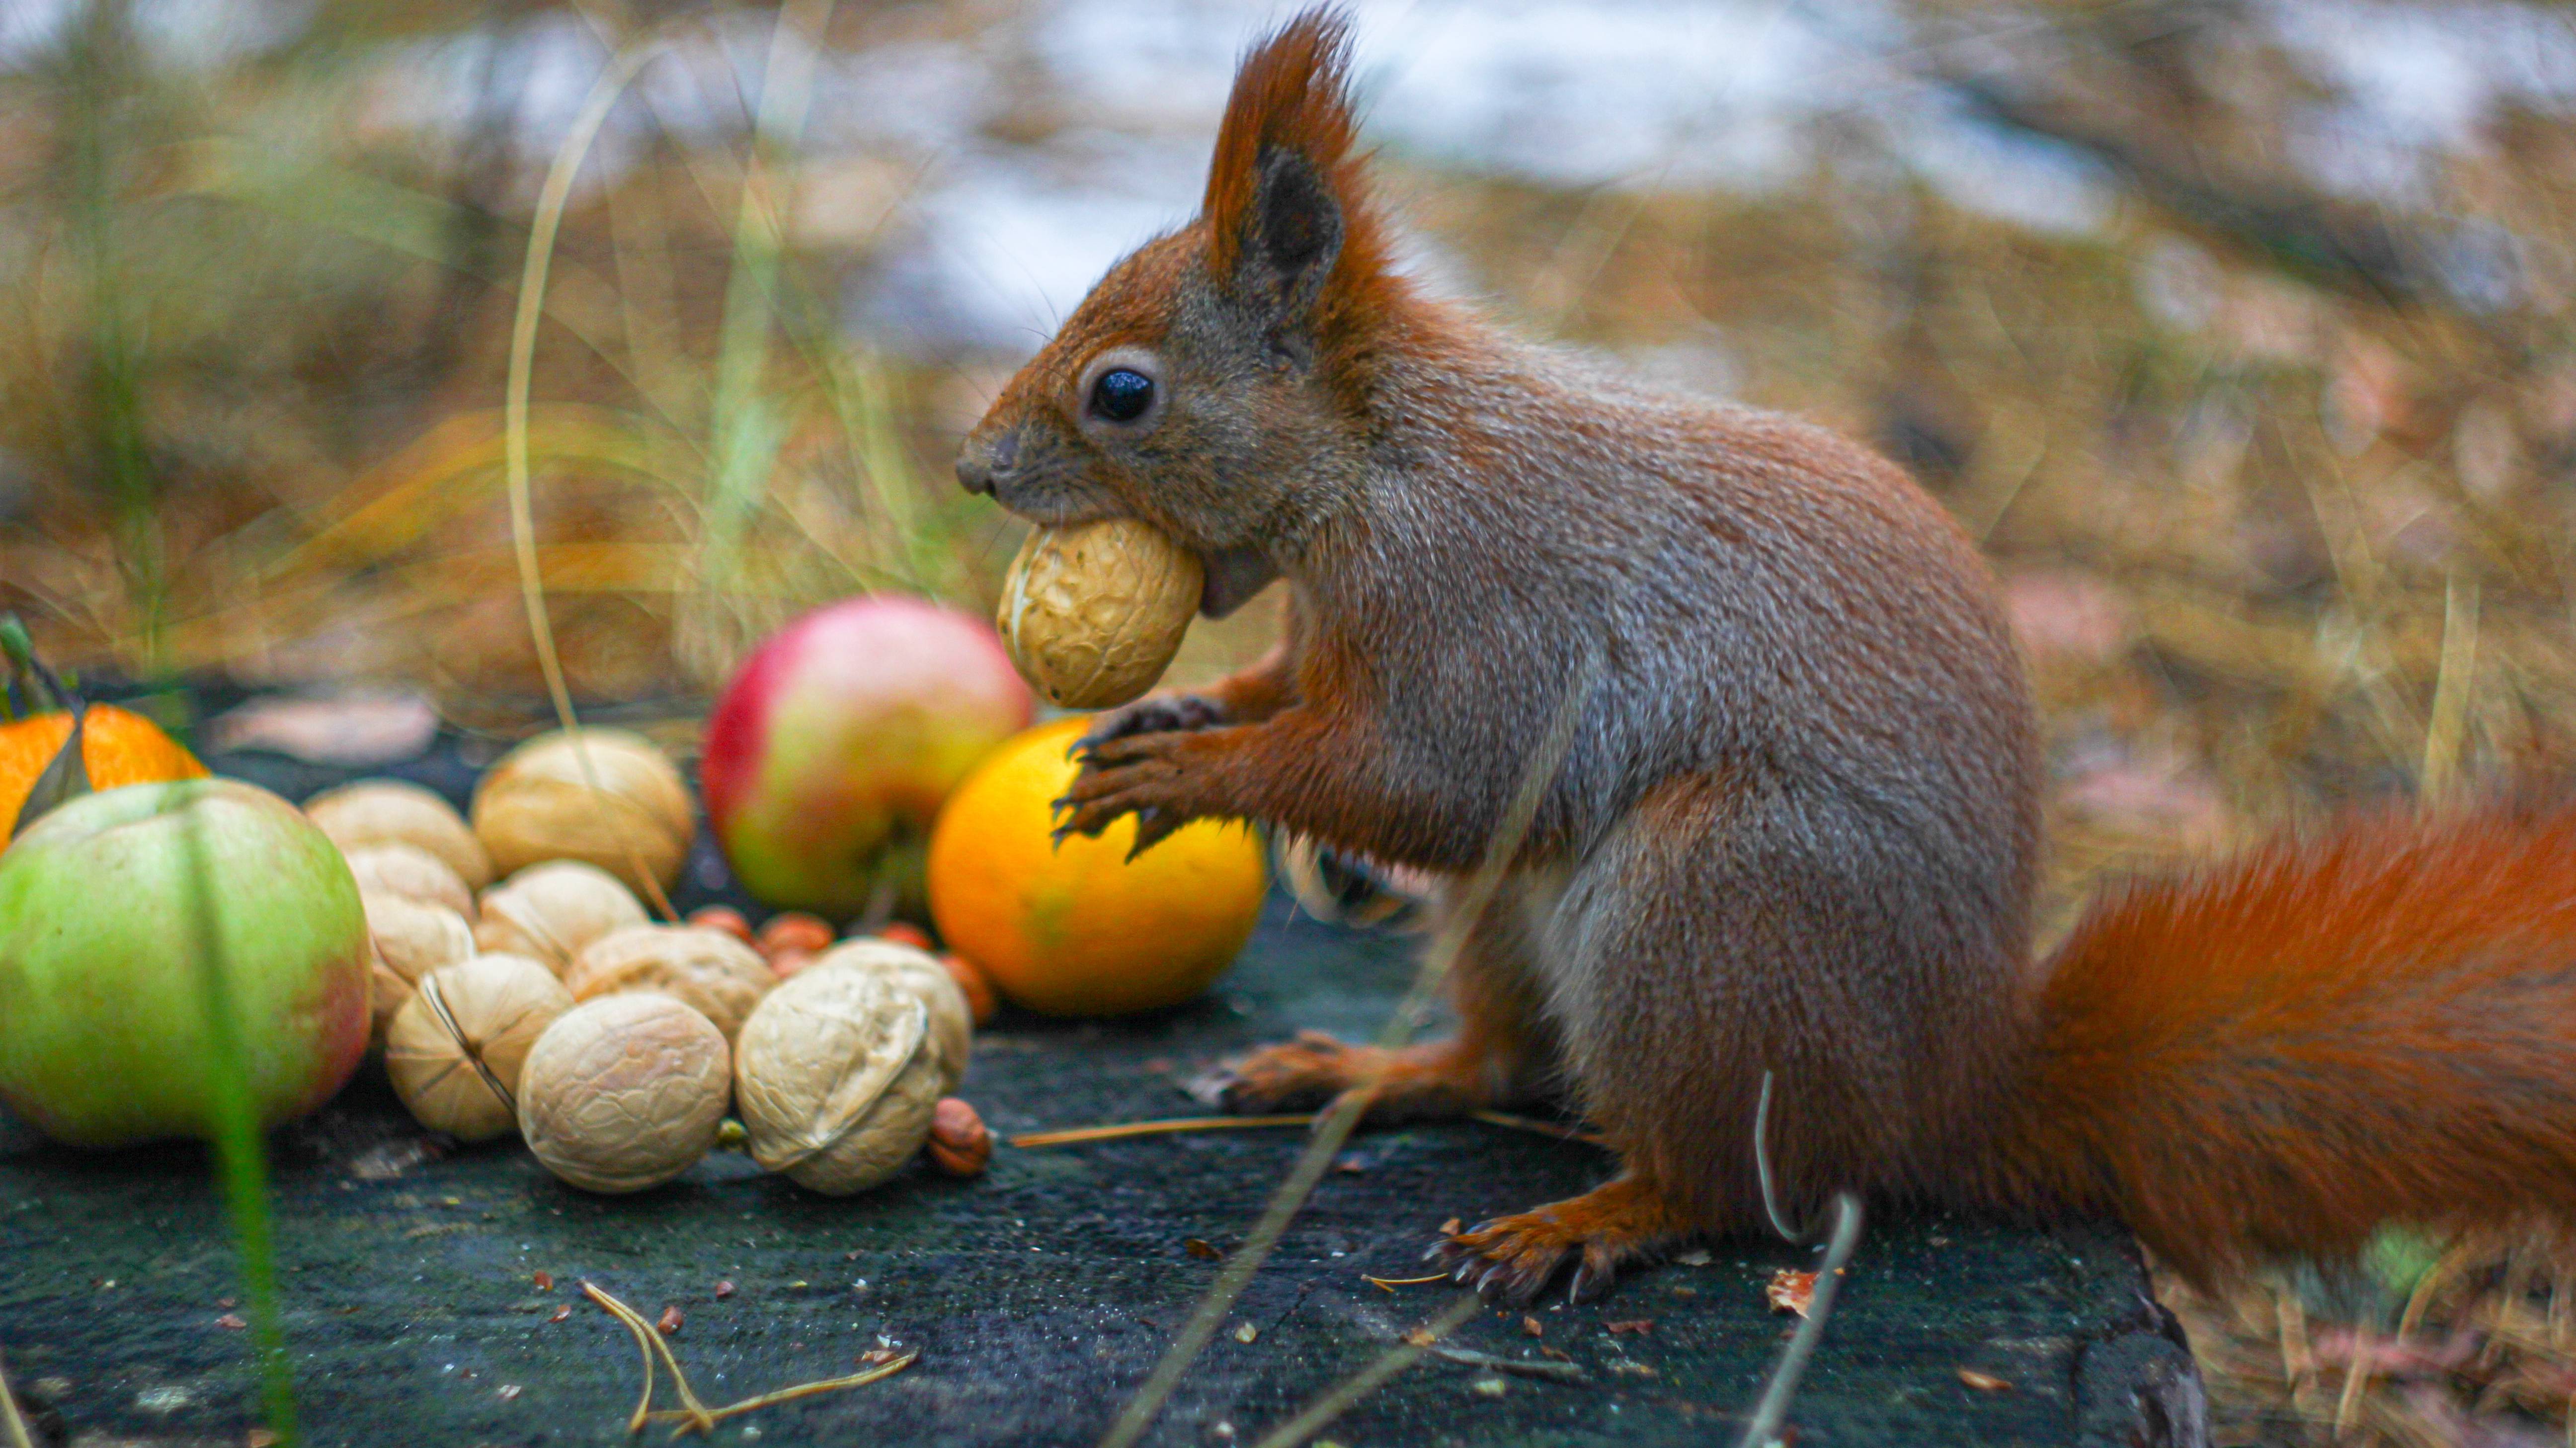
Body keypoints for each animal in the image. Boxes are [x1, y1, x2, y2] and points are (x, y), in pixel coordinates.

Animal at [953, 8, 2576, 1298]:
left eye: (1122, 392)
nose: (972, 469)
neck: (1375, 465)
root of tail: (1952, 1093)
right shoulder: (1333, 628)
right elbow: (1294, 697)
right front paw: (1179, 714)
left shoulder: (1486, 602)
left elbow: (1421, 776)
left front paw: (1193, 772)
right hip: (1528, 920)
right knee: (1505, 1059)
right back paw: (1364, 1070)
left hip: (1715, 914)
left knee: (1728, 1184)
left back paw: (1586, 1219)